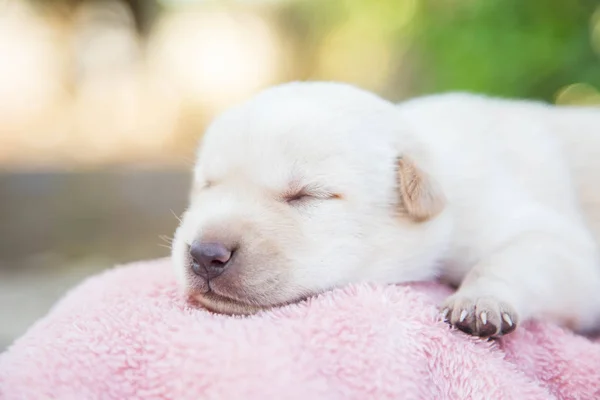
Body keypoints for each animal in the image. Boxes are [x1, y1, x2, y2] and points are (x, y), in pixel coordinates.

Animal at [169, 81, 600, 338]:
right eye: (208, 185)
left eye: (306, 195)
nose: (205, 254)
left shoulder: (555, 242)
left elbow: (510, 258)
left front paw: (479, 301)